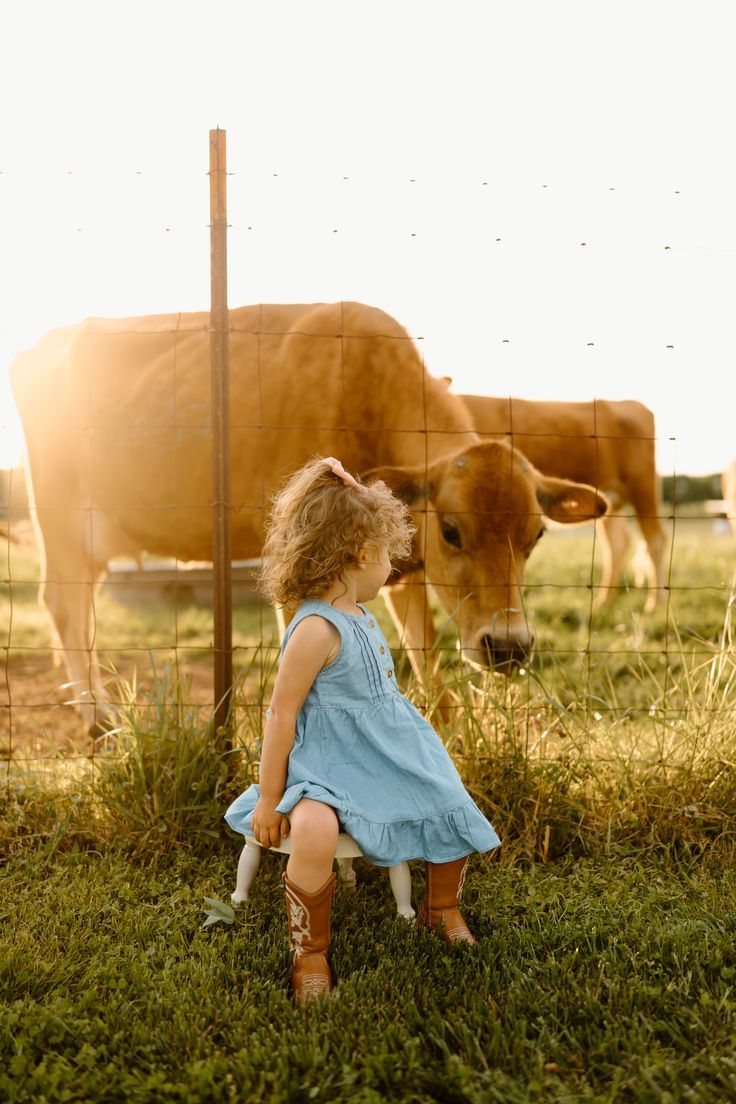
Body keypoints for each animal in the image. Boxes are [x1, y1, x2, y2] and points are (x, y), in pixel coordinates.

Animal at [11, 304, 609, 733]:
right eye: (451, 530)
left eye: (536, 535)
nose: (508, 646)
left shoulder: (405, 573)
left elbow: (425, 657)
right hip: (59, 515)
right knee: (62, 604)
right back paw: (97, 715)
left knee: (82, 610)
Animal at [461, 393, 666, 613]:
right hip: (610, 500)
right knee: (617, 544)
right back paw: (603, 602)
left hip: (643, 487)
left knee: (655, 540)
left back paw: (654, 604)